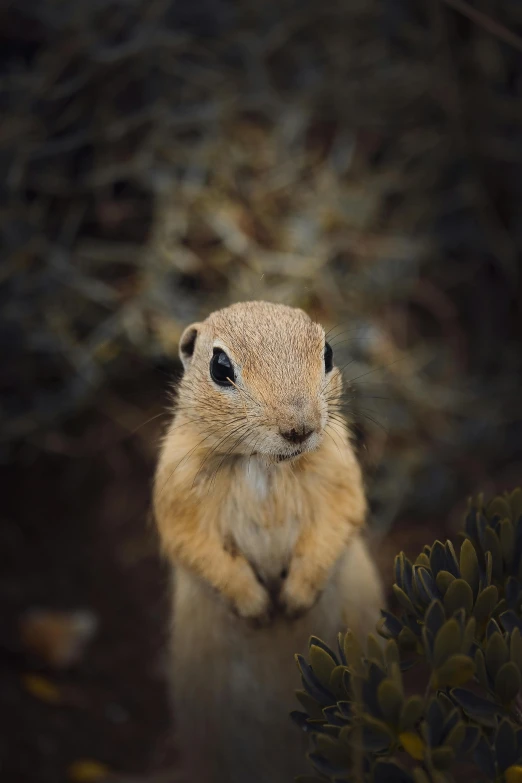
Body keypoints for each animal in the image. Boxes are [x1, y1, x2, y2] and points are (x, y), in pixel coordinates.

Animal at [150, 302, 382, 783]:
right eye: (220, 367)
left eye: (328, 354)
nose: (299, 428)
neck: (263, 463)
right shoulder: (178, 495)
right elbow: (195, 546)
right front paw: (257, 608)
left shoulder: (339, 475)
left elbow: (336, 523)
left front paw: (293, 601)